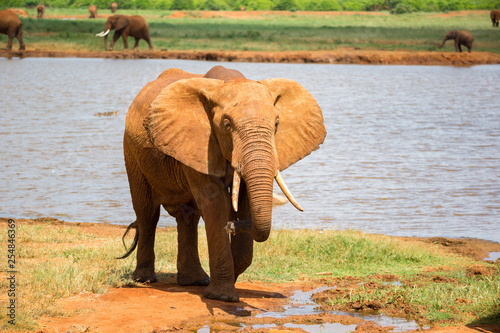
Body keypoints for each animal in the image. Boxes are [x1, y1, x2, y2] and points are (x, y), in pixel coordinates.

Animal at [119, 65, 326, 300]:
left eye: (276, 124)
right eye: (227, 125)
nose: (232, 226)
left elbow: (244, 204)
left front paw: (222, 285)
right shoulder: (201, 142)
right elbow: (216, 202)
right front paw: (222, 296)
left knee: (188, 215)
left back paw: (195, 281)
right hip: (132, 151)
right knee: (147, 212)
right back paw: (144, 279)